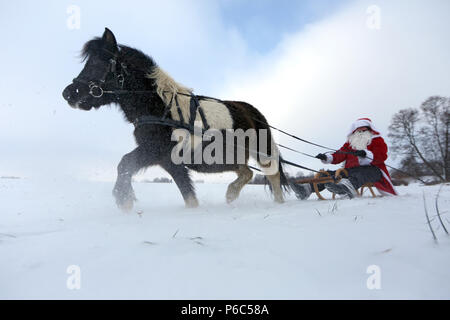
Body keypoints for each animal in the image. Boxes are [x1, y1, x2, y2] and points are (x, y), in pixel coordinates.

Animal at [61, 28, 290, 211]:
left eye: (98, 64)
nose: (68, 93)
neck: (161, 108)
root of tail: (252, 111)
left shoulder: (155, 151)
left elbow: (124, 163)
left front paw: (124, 199)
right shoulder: (168, 160)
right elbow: (188, 196)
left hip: (262, 152)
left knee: (272, 176)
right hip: (228, 158)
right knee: (247, 173)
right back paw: (232, 194)